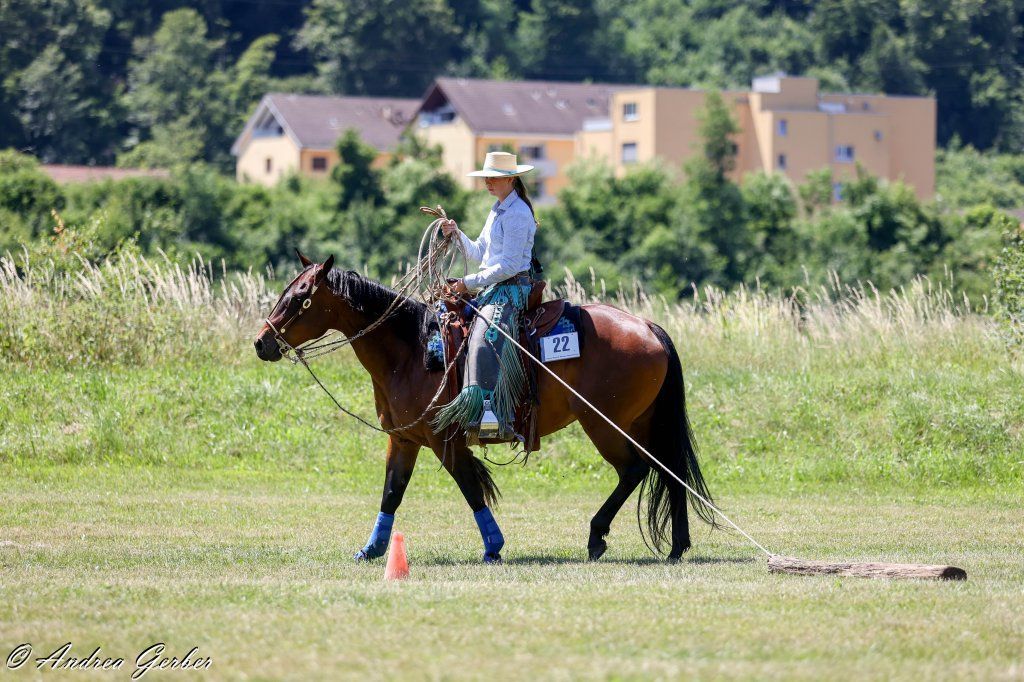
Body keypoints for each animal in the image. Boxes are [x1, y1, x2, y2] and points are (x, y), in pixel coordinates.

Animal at [253, 251, 715, 562]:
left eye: (301, 297)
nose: (261, 342)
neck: (412, 350)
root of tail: (649, 327)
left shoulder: (443, 439)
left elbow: (469, 487)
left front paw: (494, 547)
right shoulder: (404, 440)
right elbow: (392, 493)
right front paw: (372, 549)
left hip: (605, 424)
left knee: (635, 470)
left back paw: (597, 535)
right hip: (642, 421)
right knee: (669, 472)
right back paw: (676, 547)